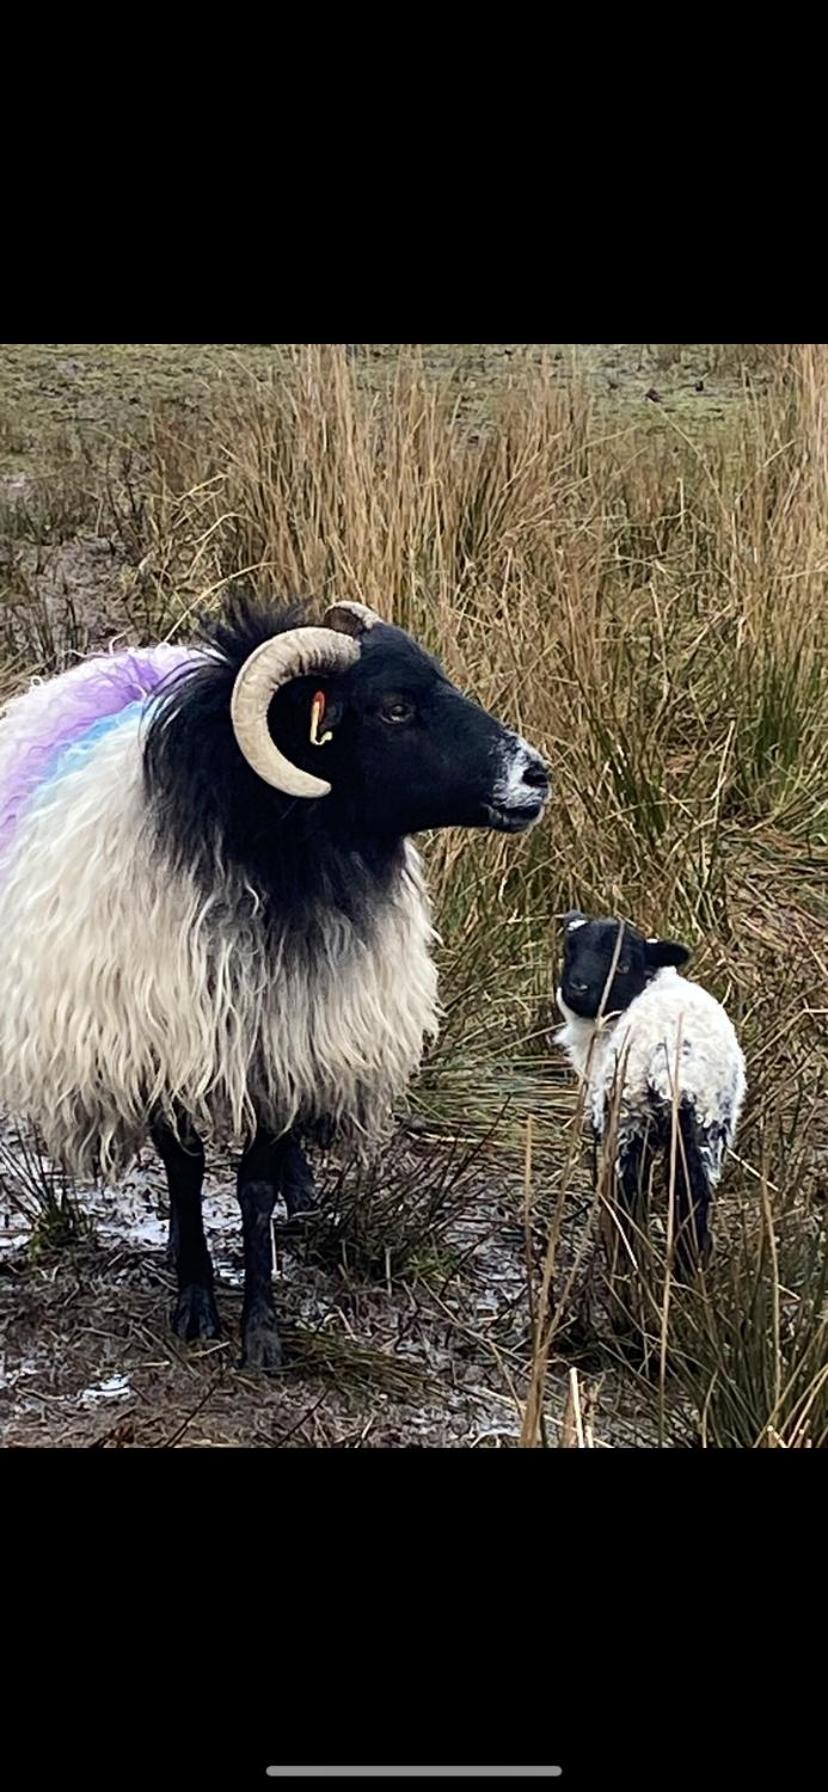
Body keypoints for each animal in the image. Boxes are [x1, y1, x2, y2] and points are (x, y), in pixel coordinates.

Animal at [0, 594, 548, 1361]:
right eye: (395, 708)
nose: (537, 775)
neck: (273, 854)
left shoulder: (286, 1040)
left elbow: (254, 1187)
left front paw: (261, 1326)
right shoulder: (163, 1039)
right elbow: (185, 1172)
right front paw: (196, 1298)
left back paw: (301, 1185)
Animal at [555, 910, 745, 1275]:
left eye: (624, 964)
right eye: (569, 950)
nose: (578, 989)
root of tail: (669, 1057)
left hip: (628, 1118)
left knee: (629, 1195)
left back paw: (625, 1262)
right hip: (706, 1128)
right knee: (693, 1200)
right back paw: (689, 1273)